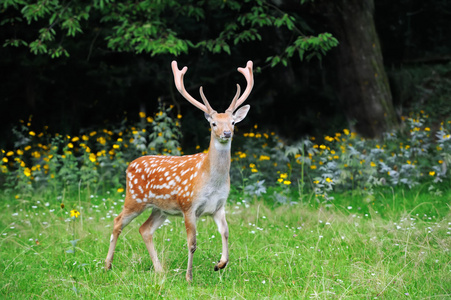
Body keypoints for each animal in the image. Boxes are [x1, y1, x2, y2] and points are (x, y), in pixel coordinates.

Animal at [106, 59, 254, 282]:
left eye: (233, 122)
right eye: (213, 123)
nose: (227, 133)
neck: (212, 181)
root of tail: (130, 166)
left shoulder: (219, 206)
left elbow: (226, 233)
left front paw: (220, 264)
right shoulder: (188, 205)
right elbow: (192, 243)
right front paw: (189, 277)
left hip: (161, 209)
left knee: (144, 229)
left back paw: (159, 270)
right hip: (135, 199)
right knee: (117, 222)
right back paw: (107, 265)